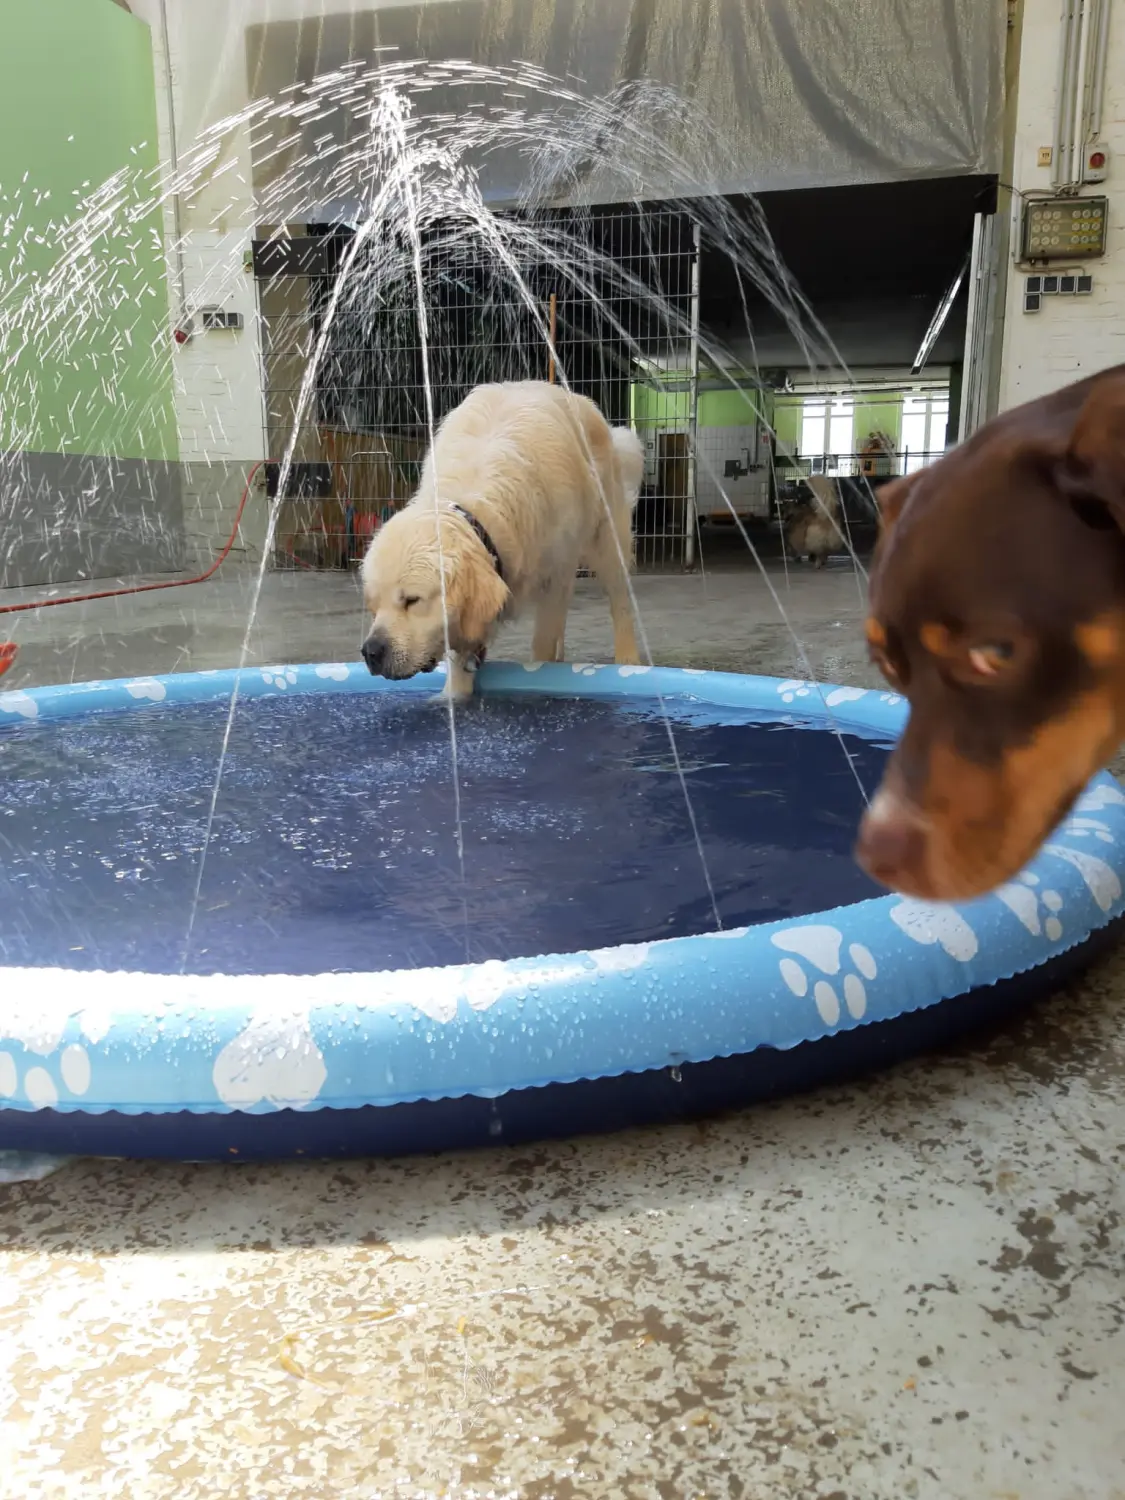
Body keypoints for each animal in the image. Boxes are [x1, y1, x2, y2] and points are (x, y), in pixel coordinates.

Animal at [361, 381, 642, 696]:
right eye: (373, 605)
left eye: (412, 600)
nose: (371, 652)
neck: (477, 504)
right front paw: (452, 695)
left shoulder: (555, 573)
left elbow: (542, 639)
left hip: (607, 536)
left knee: (619, 597)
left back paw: (629, 659)